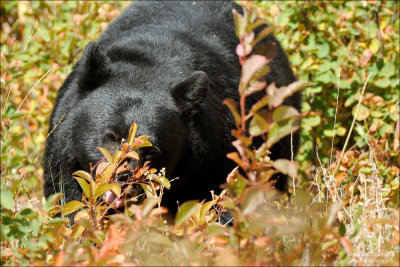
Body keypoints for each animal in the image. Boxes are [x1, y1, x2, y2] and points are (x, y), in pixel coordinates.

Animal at [43, 1, 300, 217]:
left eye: (151, 149)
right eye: (110, 137)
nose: (123, 177)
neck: (149, 65)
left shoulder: (216, 155)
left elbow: (218, 203)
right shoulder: (64, 156)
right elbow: (70, 203)